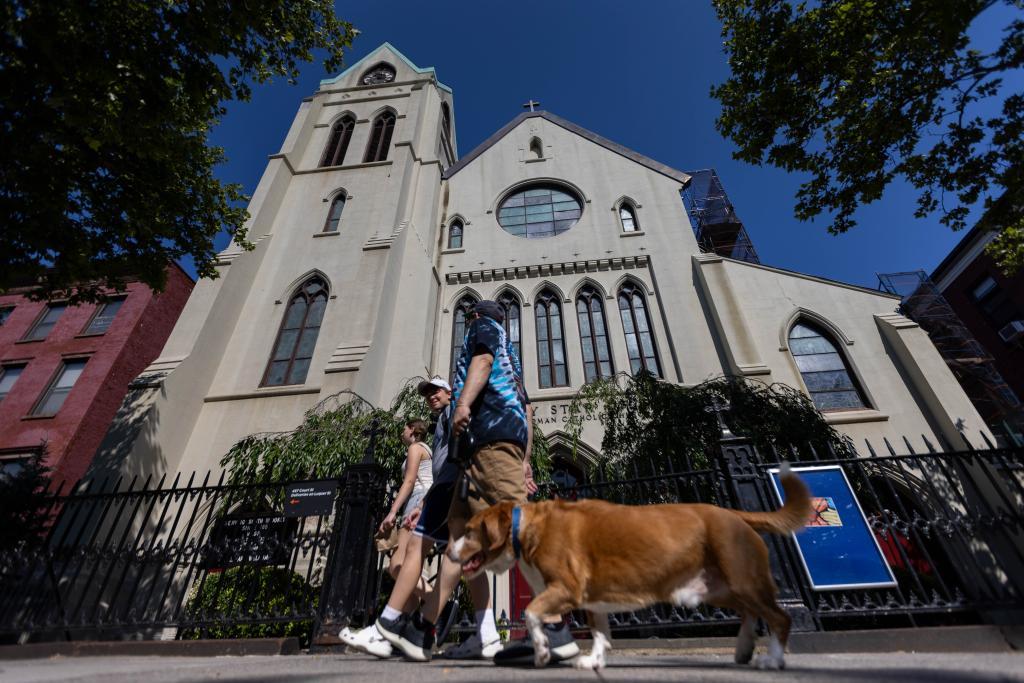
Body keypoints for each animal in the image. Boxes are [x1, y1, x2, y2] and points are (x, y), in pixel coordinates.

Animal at [446, 464, 806, 667]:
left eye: (469, 531)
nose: (448, 551)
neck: (527, 525)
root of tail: (732, 513)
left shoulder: (566, 588)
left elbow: (533, 613)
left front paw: (543, 651)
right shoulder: (591, 599)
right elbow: (600, 634)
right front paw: (593, 661)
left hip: (741, 580)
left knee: (780, 617)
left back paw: (773, 660)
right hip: (717, 588)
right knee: (750, 613)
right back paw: (744, 649)